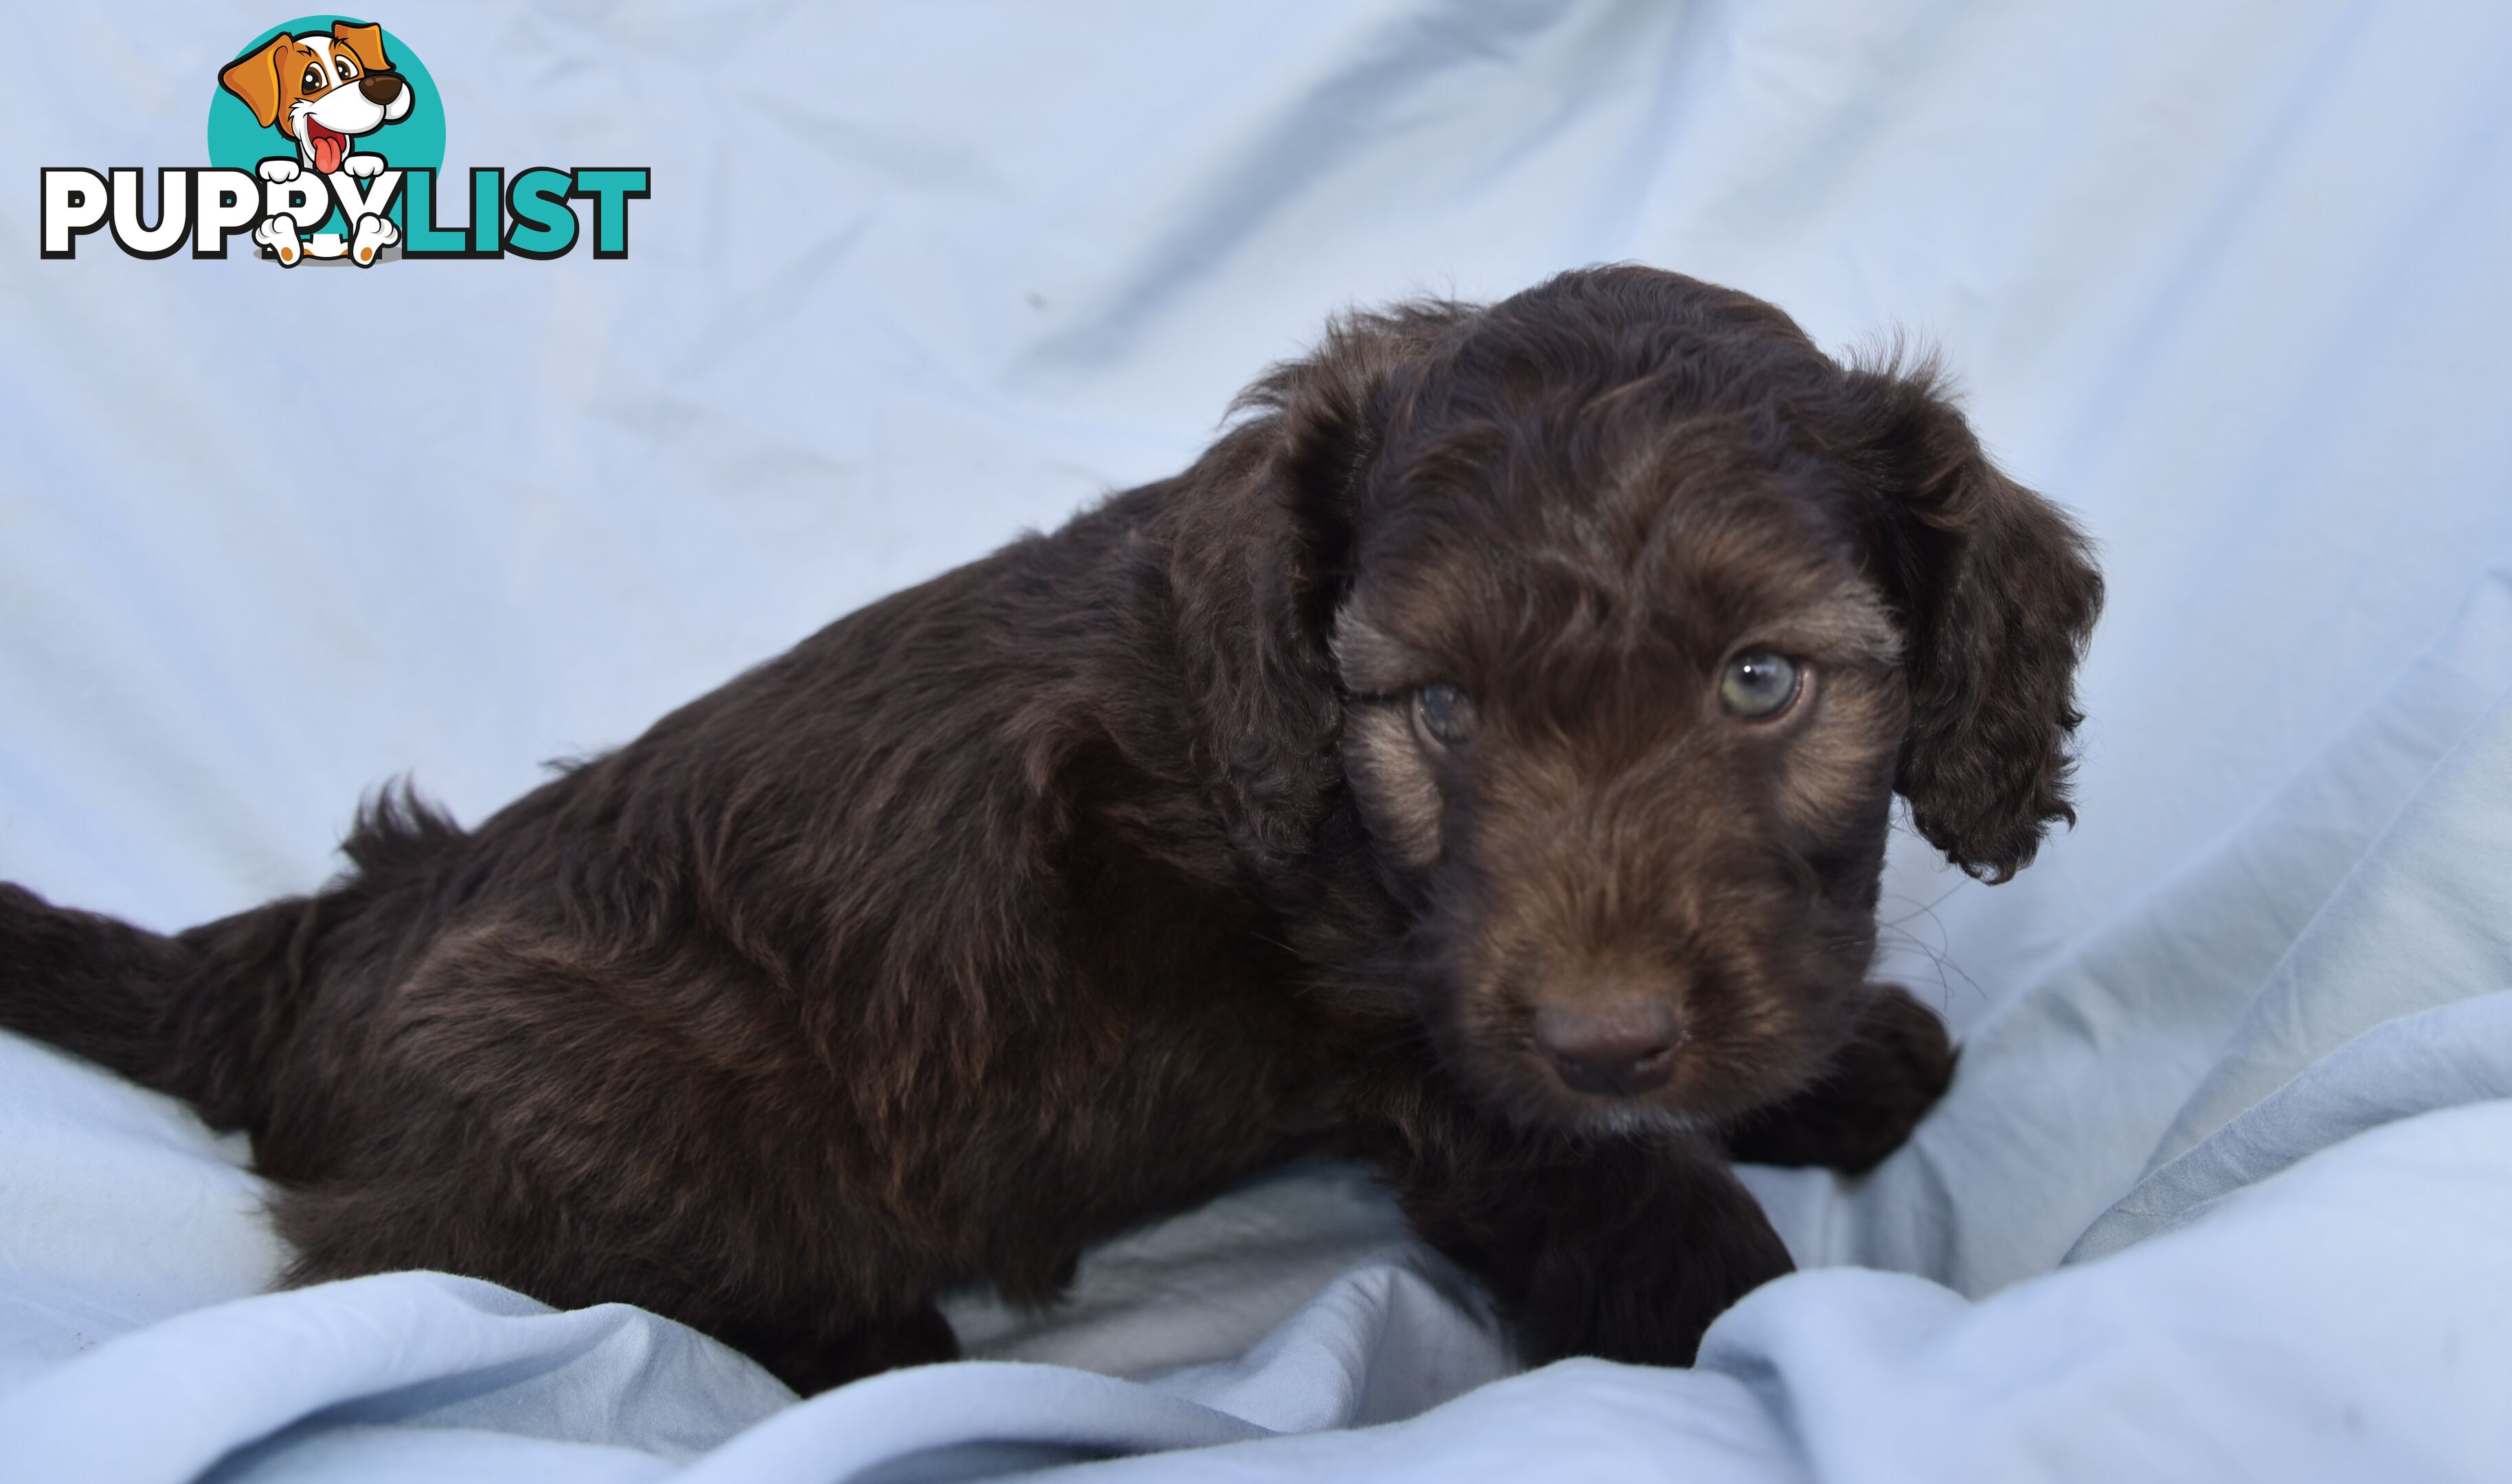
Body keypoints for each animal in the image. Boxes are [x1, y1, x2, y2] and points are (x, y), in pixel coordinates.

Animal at [0, 263, 2100, 1396]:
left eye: (1763, 683)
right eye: (1440, 712)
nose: (1607, 1036)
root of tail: (323, 943)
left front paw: (1838, 1069)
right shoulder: (1451, 1066)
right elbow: (1656, 1217)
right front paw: (1783, 1323)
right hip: (581, 1073)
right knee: (450, 1259)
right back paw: (852, 1344)